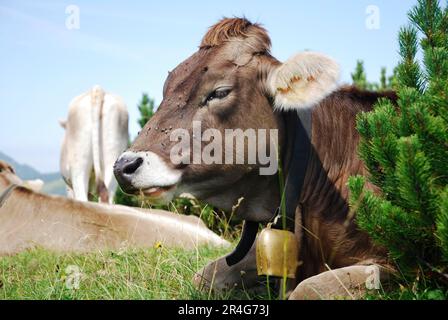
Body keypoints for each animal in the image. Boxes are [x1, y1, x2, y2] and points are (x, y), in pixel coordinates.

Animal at [113, 16, 396, 298]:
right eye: (166, 90)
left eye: (219, 92)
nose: (123, 166)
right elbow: (205, 276)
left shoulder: (395, 264)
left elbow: (308, 290)